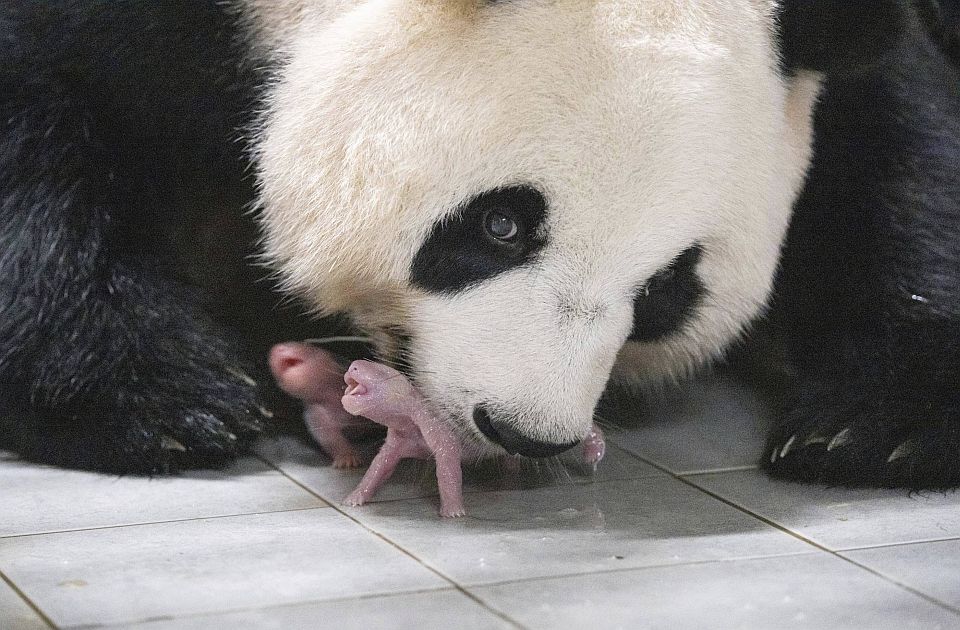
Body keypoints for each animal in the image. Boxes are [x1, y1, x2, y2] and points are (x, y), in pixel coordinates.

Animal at [1, 2, 960, 492]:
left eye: (666, 290)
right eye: (501, 225)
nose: (525, 431)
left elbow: (899, 149)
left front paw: (873, 428)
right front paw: (161, 401)